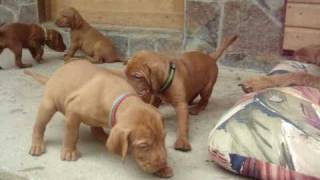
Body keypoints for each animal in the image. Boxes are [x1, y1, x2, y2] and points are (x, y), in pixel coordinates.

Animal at [25, 60, 172, 177]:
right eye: (144, 146)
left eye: (163, 138)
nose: (162, 162)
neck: (119, 98)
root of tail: (55, 74)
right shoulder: (73, 110)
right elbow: (71, 133)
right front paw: (69, 151)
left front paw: (163, 169)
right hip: (48, 105)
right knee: (39, 126)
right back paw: (37, 145)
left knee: (96, 129)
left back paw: (104, 137)